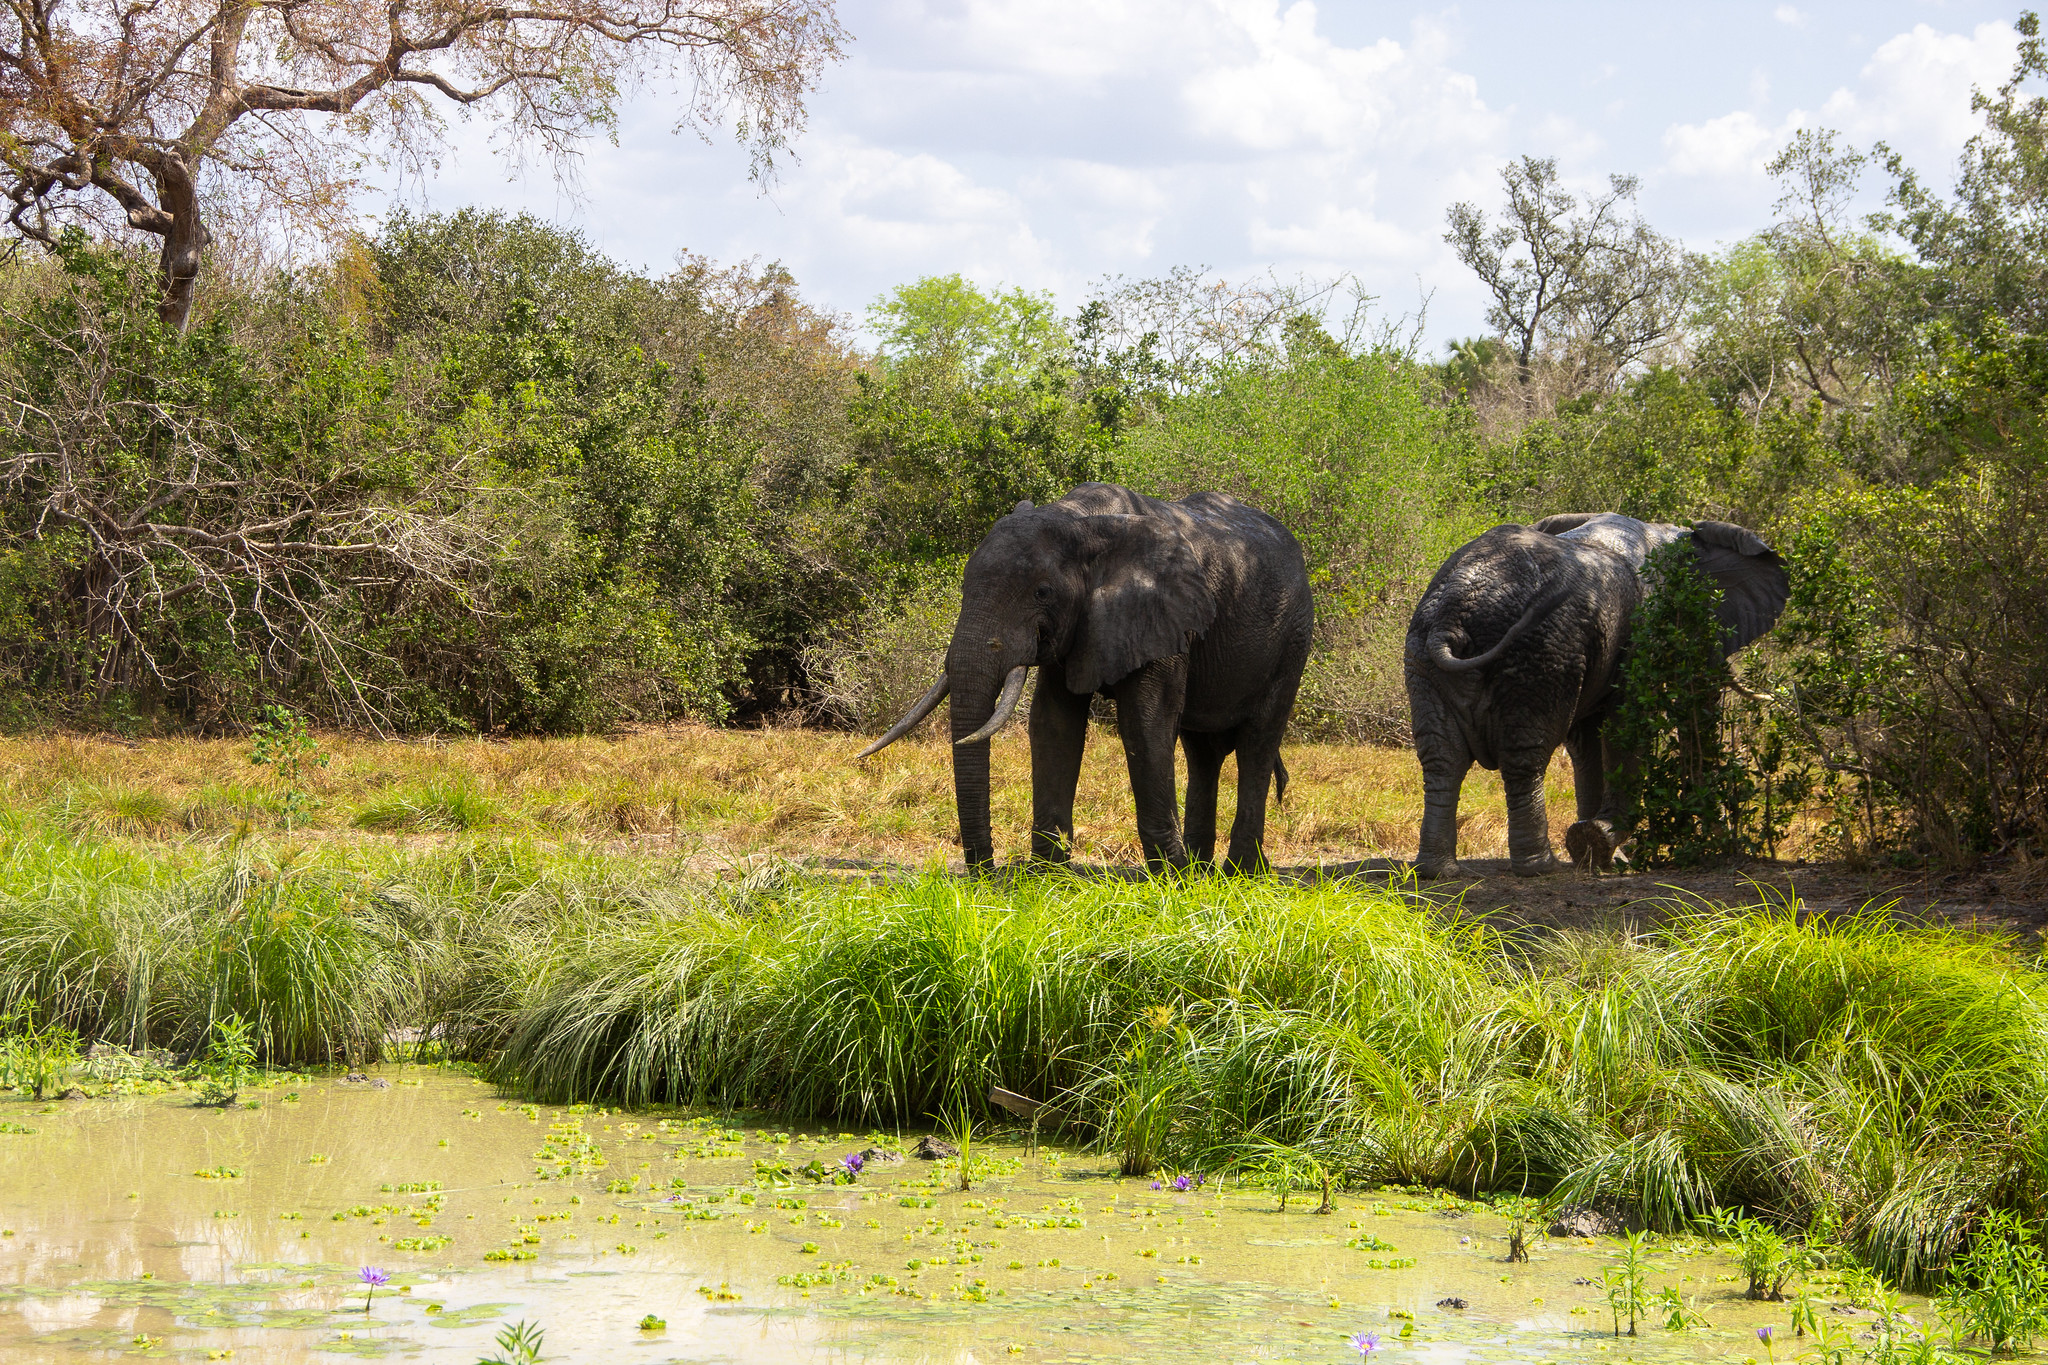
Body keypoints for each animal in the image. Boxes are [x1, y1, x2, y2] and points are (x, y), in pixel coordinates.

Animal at [860, 482, 1314, 873]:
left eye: (1042, 592)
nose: (986, 875)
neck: (1082, 521)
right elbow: (1054, 723)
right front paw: (1048, 876)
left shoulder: (1161, 618)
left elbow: (1145, 723)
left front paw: (1170, 881)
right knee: (1203, 752)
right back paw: (1204, 873)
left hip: (1292, 640)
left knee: (1257, 742)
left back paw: (1238, 874)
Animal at [1404, 512, 1789, 878]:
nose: (1728, 845)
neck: (1665, 531)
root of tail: (1451, 618)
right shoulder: (1641, 632)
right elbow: (1627, 725)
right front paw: (1600, 842)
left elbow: (1587, 740)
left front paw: (1598, 856)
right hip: (1540, 651)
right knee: (1524, 756)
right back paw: (1541, 867)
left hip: (1427, 657)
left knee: (1443, 759)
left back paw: (1438, 871)